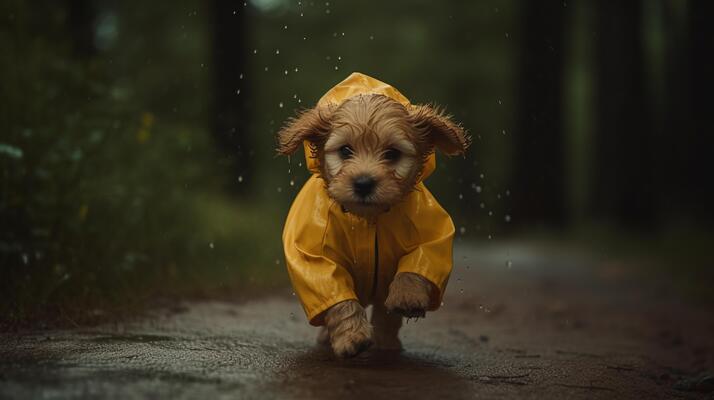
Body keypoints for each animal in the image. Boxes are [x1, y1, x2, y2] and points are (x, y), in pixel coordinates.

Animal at [278, 73, 468, 358]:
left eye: (392, 153)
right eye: (345, 150)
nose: (364, 183)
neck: (367, 219)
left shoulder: (430, 233)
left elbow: (420, 262)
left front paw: (407, 296)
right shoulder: (314, 257)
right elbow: (335, 295)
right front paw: (352, 336)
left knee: (384, 312)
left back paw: (387, 342)